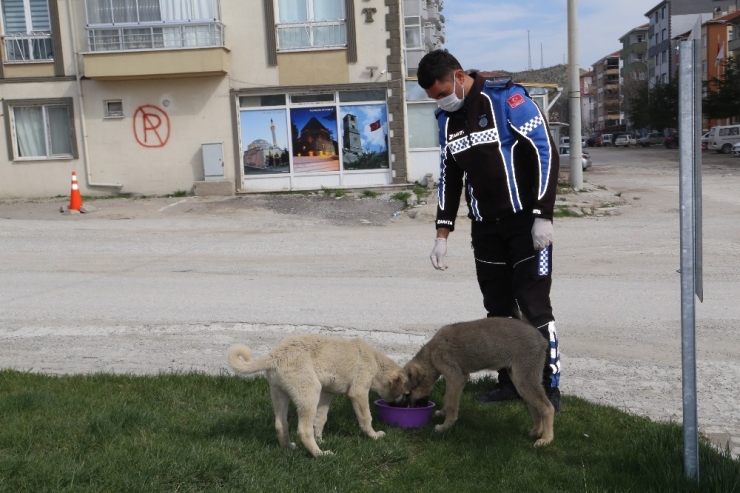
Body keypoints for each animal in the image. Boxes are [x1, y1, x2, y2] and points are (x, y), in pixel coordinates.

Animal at [228, 336, 408, 456]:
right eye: (406, 394)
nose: (405, 407)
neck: (376, 361)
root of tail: (276, 355)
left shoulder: (327, 394)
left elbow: (321, 419)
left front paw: (320, 439)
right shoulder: (359, 392)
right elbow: (366, 418)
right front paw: (374, 436)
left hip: (279, 395)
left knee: (280, 424)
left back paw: (289, 447)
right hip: (310, 393)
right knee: (303, 430)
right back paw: (319, 454)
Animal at [404, 316, 556, 446]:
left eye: (408, 393)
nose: (409, 408)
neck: (431, 353)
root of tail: (543, 340)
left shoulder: (455, 377)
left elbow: (451, 404)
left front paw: (445, 426)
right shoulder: (460, 378)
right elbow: (447, 398)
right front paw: (442, 413)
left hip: (525, 379)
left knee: (547, 407)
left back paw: (546, 439)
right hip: (520, 380)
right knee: (534, 406)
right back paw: (536, 430)